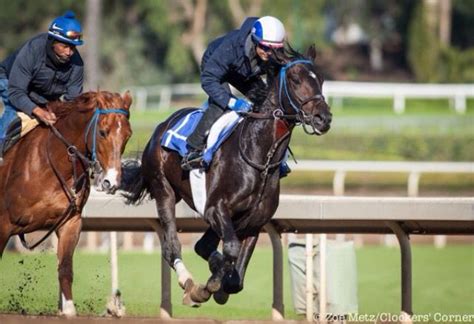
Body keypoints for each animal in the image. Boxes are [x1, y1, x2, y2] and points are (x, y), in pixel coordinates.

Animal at [0, 91, 131, 316]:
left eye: (128, 135)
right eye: (103, 132)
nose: (111, 182)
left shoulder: (70, 222)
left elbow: (65, 268)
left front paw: (68, 308)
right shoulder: (3, 224)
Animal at [120, 45, 332, 306]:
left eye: (320, 79)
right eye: (295, 79)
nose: (324, 118)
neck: (258, 157)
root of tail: (162, 126)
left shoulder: (253, 222)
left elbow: (235, 280)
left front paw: (221, 282)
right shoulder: (215, 208)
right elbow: (229, 249)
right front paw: (210, 282)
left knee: (202, 245)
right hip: (164, 190)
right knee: (172, 246)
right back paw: (189, 283)